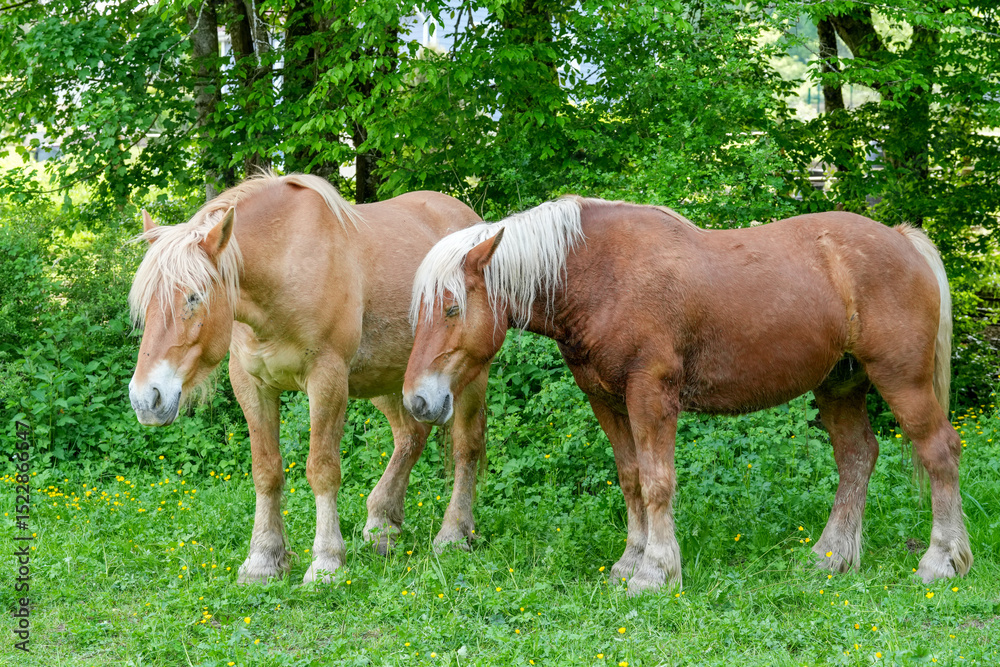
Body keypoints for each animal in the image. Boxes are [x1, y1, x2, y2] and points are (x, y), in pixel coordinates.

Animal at [128, 173, 488, 584]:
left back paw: (454, 532)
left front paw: (326, 561)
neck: (284, 268)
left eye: (193, 297)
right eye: (146, 304)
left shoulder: (326, 381)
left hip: (467, 374)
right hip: (388, 378)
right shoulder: (252, 385)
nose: (145, 398)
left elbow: (322, 469)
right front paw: (263, 558)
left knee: (466, 447)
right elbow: (266, 471)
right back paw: (382, 525)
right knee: (411, 437)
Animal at [402, 196, 972, 595]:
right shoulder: (607, 400)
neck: (600, 273)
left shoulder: (651, 395)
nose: (418, 402)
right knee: (857, 457)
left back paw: (942, 560)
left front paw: (655, 572)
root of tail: (902, 239)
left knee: (939, 452)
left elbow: (657, 482)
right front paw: (629, 562)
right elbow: (631, 479)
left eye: (451, 308)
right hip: (841, 386)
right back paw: (830, 558)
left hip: (903, 381)